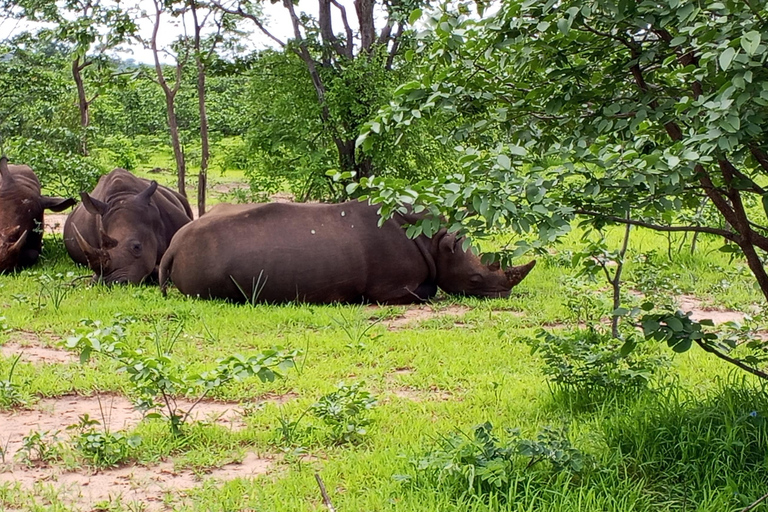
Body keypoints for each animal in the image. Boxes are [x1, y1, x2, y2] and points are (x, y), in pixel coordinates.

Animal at [159, 201, 535, 304]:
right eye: (474, 280)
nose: (503, 294)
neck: (434, 240)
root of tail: (173, 246)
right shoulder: (393, 289)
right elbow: (426, 291)